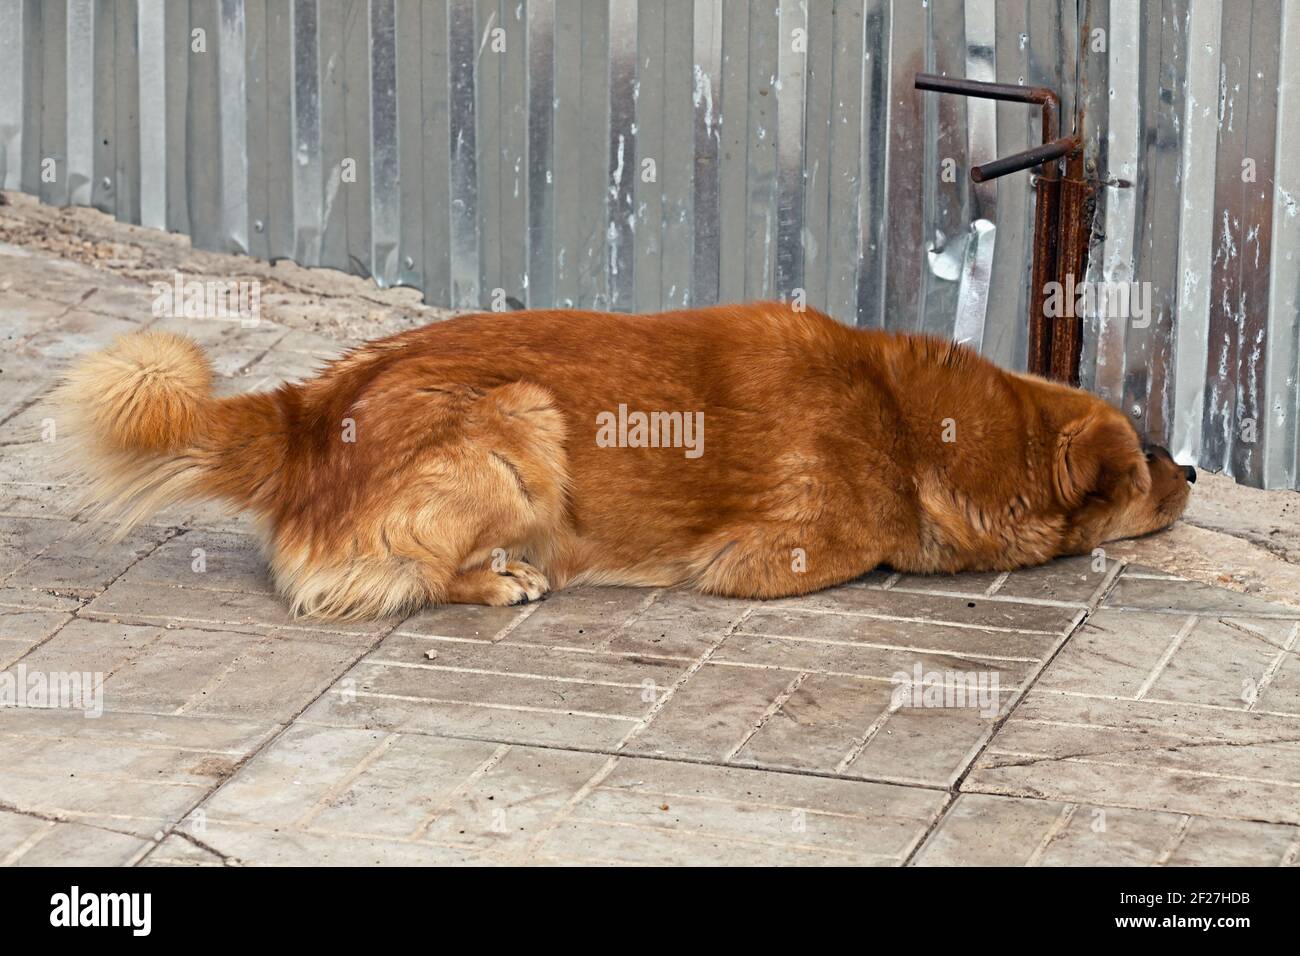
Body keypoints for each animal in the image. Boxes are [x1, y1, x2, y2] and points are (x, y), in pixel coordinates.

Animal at [50, 303, 1190, 624]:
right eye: (1145, 457)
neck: (910, 417)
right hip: (520, 422)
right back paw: (500, 579)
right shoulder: (781, 556)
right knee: (398, 577)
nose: (1193, 471)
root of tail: (310, 411)